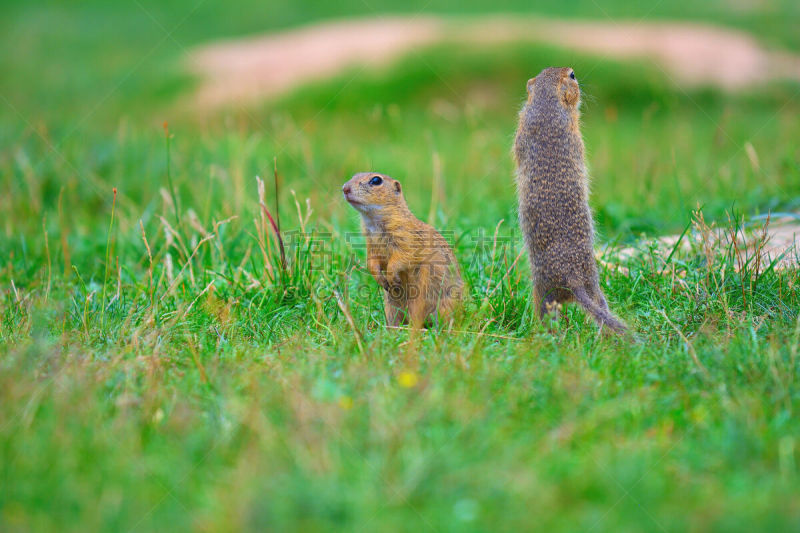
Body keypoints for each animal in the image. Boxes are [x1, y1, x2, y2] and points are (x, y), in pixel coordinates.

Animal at [342, 171, 462, 328]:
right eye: (354, 175)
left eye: (376, 180)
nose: (345, 188)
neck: (374, 222)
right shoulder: (371, 245)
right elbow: (371, 262)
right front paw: (382, 280)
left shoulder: (405, 238)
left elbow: (402, 257)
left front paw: (392, 277)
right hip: (391, 306)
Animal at [516, 66, 628, 332]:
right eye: (573, 75)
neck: (547, 106)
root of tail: (573, 278)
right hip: (593, 284)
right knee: (599, 307)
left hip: (541, 289)